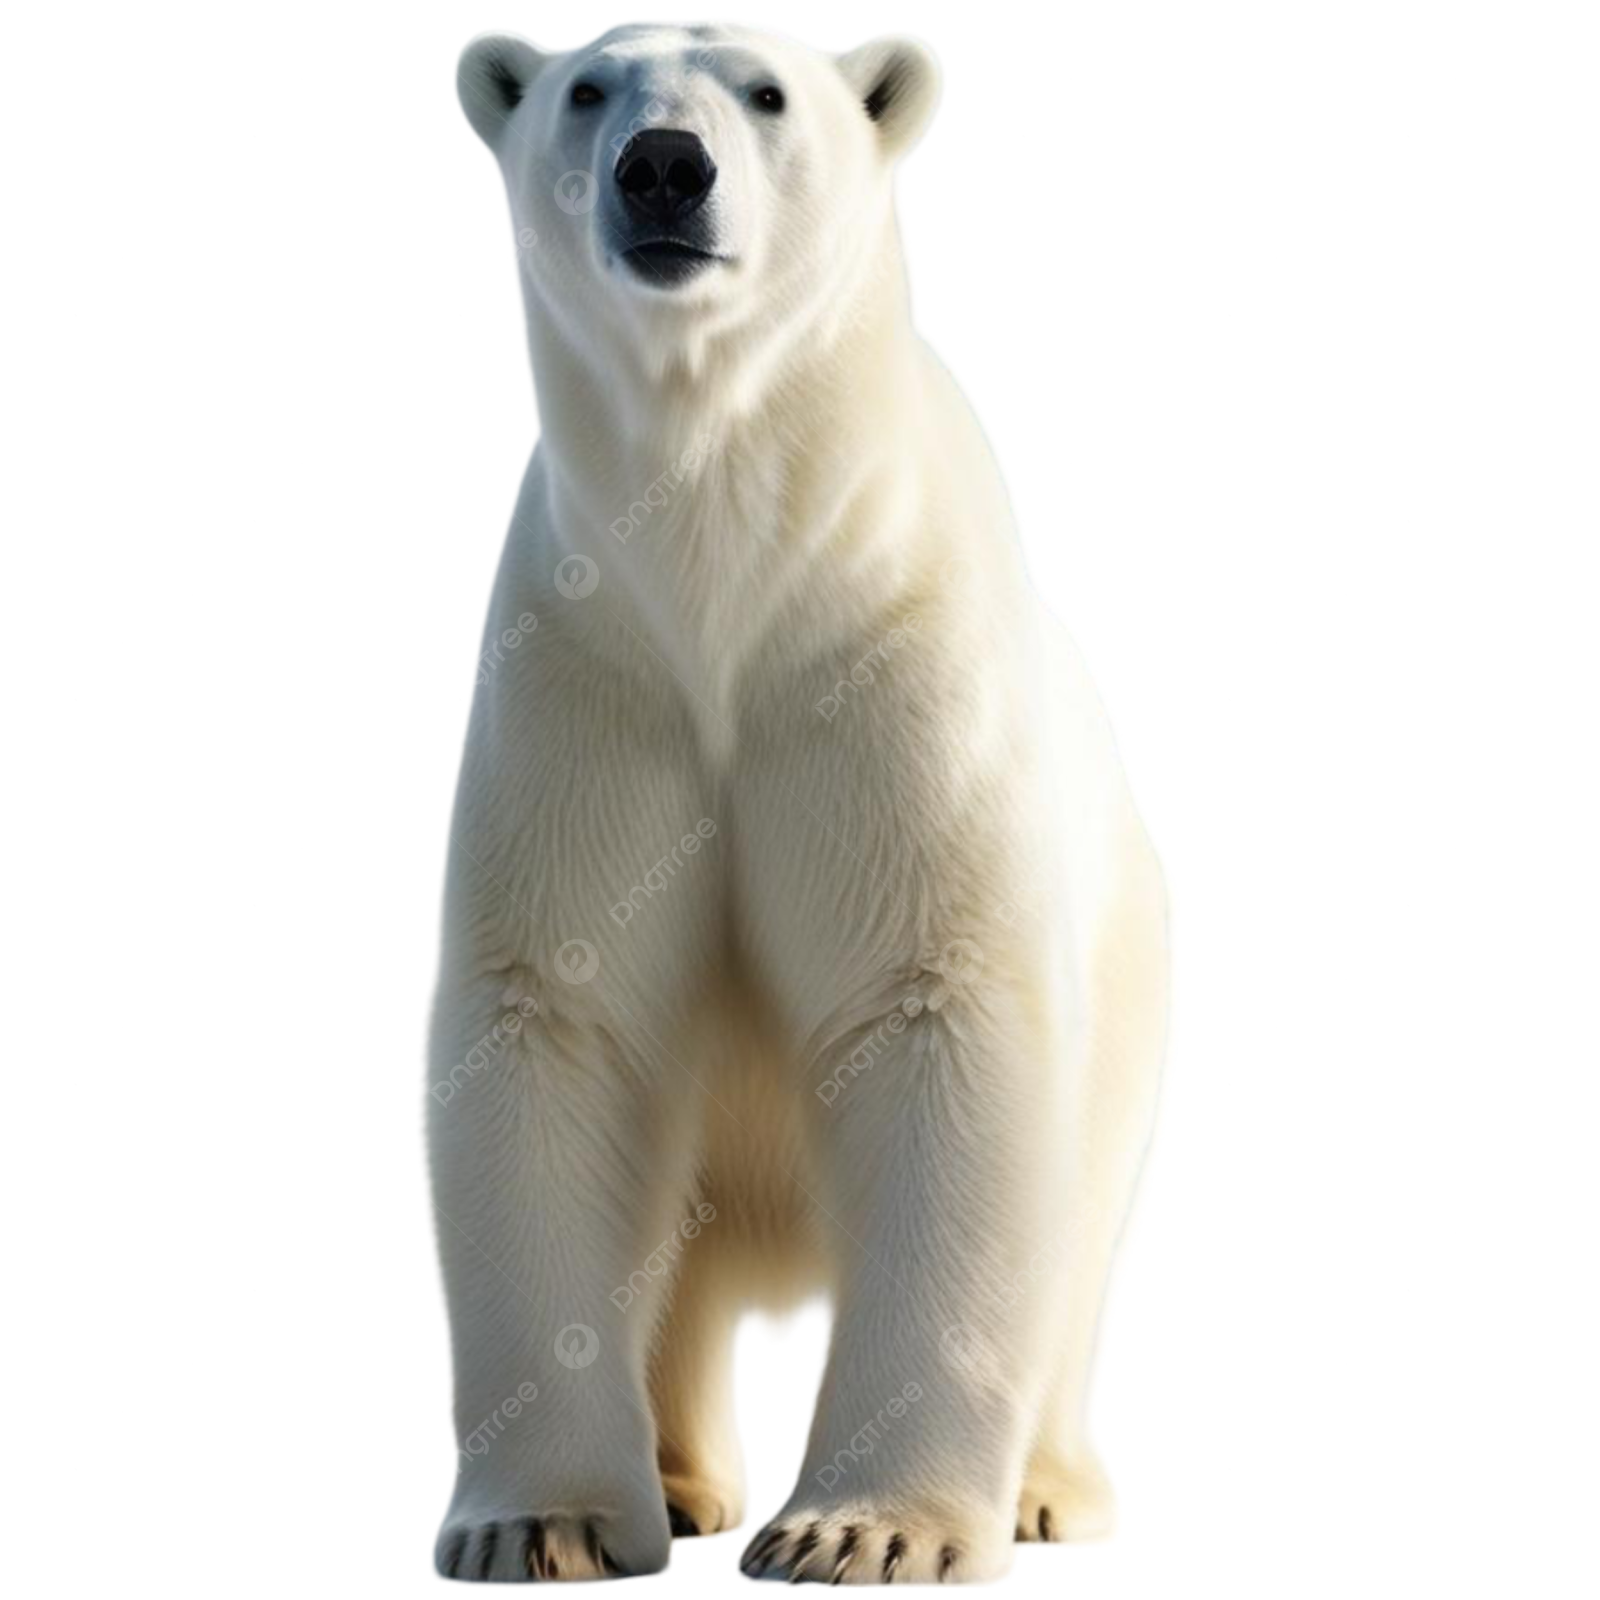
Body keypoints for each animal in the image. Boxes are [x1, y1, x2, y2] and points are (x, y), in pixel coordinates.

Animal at [419, 15, 1179, 1588]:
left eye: (767, 93)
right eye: (589, 89)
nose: (663, 167)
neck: (726, 560)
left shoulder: (882, 670)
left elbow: (936, 1012)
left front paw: (868, 1530)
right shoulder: (597, 677)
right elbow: (555, 1017)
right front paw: (539, 1523)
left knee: (1084, 1235)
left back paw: (1045, 1490)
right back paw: (680, 1480)